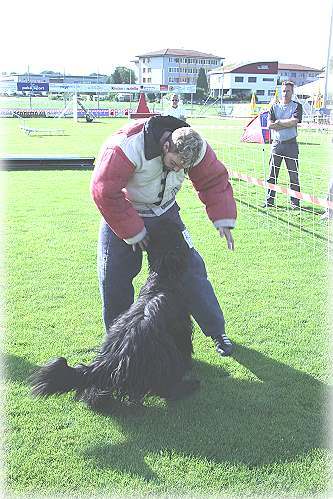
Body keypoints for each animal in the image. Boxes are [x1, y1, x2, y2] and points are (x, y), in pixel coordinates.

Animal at [29, 220, 198, 410]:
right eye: (175, 237)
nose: (170, 221)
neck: (161, 281)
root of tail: (109, 361)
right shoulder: (182, 326)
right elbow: (185, 345)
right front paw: (189, 364)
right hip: (162, 357)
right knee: (165, 388)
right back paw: (188, 386)